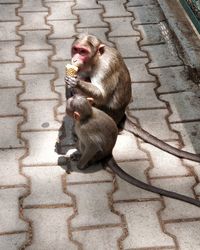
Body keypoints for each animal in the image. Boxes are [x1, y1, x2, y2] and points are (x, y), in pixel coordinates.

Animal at [63, 94, 200, 208]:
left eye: (69, 104)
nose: (67, 101)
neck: (88, 116)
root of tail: (109, 152)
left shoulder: (84, 128)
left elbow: (93, 146)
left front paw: (80, 165)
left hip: (97, 153)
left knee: (86, 143)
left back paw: (86, 160)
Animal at [65, 33, 200, 162]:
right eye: (75, 49)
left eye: (83, 52)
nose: (75, 59)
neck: (95, 61)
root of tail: (122, 116)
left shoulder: (106, 66)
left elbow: (102, 95)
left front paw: (76, 81)